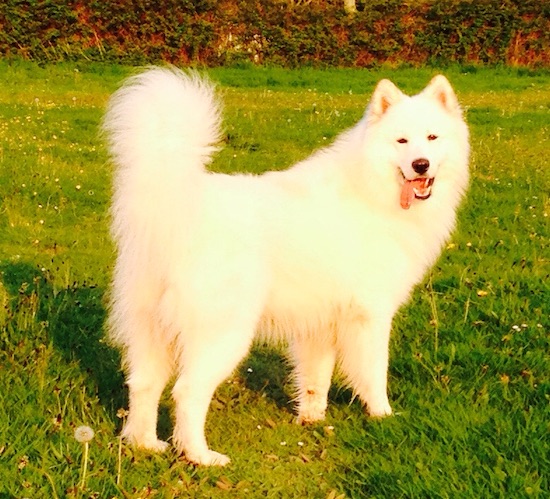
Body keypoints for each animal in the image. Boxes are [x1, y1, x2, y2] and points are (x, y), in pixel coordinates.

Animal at [102, 68, 470, 466]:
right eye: (401, 141)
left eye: (432, 137)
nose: (421, 165)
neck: (371, 188)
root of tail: (176, 201)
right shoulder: (371, 315)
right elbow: (374, 372)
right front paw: (384, 416)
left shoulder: (321, 321)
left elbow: (316, 378)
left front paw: (311, 419)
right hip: (222, 332)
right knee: (187, 392)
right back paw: (201, 456)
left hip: (150, 329)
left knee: (143, 384)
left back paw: (145, 444)